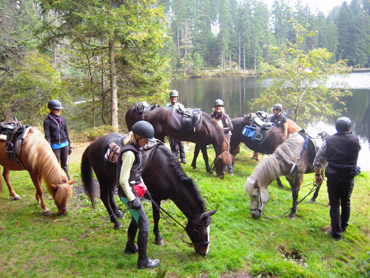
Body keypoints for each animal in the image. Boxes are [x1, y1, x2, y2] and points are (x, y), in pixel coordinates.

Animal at [81, 134, 217, 255]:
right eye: (200, 229)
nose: (204, 252)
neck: (165, 171)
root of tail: (92, 145)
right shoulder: (156, 198)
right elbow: (156, 217)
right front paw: (158, 238)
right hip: (103, 178)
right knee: (104, 197)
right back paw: (115, 222)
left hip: (111, 178)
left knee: (110, 196)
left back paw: (118, 214)